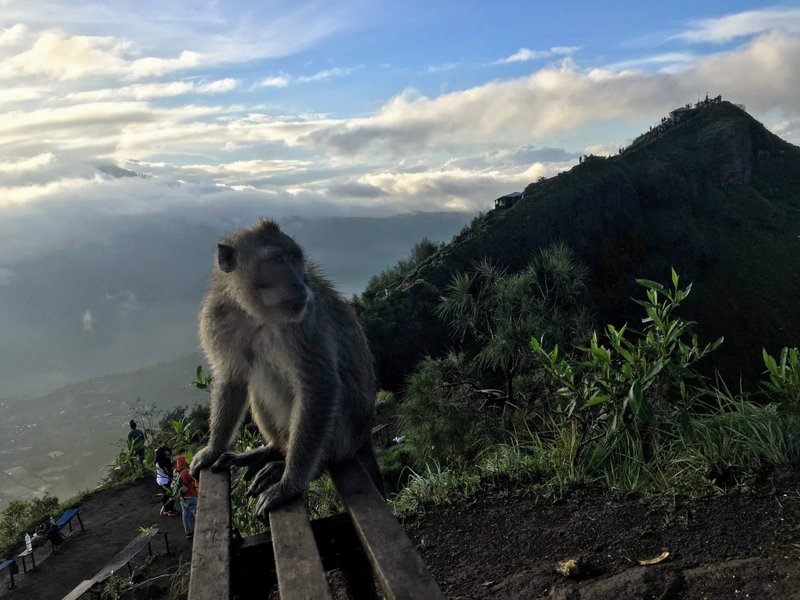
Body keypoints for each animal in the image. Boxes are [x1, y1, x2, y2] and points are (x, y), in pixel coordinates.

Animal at [191, 218, 384, 516]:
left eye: (295, 258)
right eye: (278, 260)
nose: (300, 283)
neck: (254, 313)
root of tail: (364, 437)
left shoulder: (304, 321)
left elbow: (319, 385)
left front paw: (289, 484)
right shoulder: (216, 318)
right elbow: (232, 378)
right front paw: (214, 449)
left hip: (344, 437)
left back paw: (298, 467)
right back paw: (271, 450)